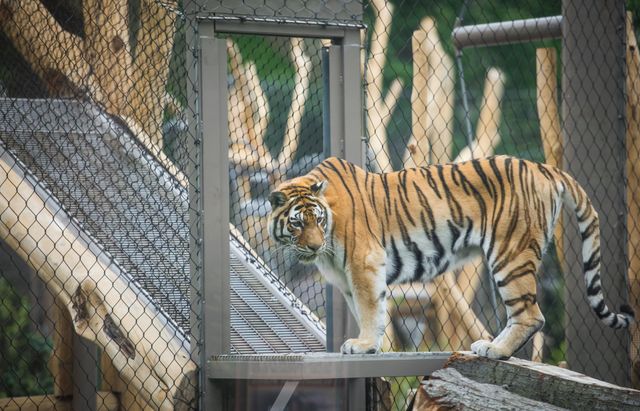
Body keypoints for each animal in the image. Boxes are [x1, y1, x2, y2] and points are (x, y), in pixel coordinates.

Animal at [267, 155, 635, 359]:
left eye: (317, 220)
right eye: (297, 223)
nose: (314, 247)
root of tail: (544, 168)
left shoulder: (364, 263)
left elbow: (370, 309)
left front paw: (364, 344)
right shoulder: (347, 278)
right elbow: (369, 310)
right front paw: (371, 344)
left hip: (510, 255)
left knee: (531, 315)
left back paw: (496, 351)